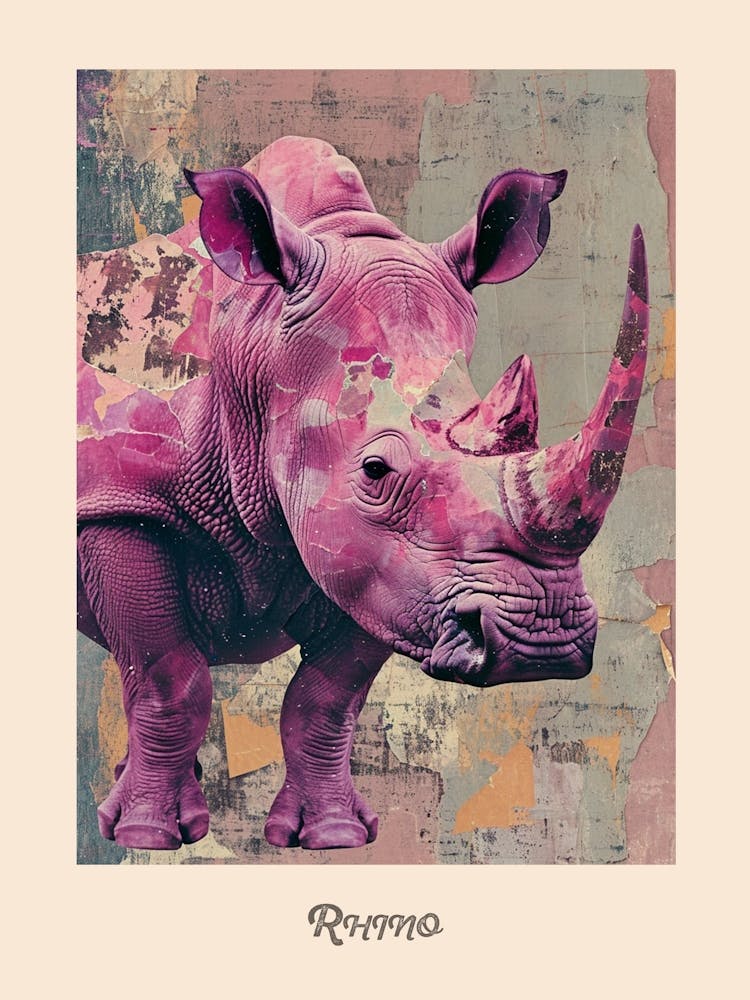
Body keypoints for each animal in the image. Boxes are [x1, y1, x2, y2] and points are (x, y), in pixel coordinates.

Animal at [77, 135, 649, 852]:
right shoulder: (118, 501)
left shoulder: (386, 569)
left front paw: (335, 837)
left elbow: (326, 698)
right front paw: (145, 838)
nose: (542, 637)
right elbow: (167, 678)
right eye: (375, 471)